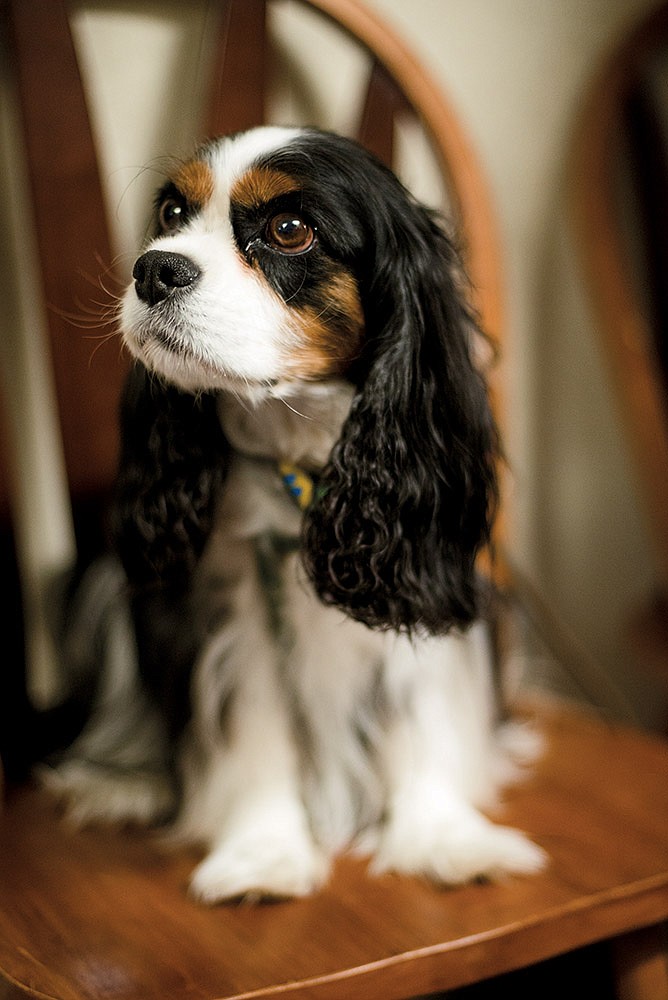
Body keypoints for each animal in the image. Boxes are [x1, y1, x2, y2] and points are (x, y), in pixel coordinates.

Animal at [47, 127, 548, 908]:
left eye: (289, 229)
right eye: (171, 214)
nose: (154, 268)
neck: (301, 464)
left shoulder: (418, 578)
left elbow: (422, 708)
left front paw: (444, 837)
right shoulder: (241, 611)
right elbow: (256, 730)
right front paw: (263, 853)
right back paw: (123, 781)